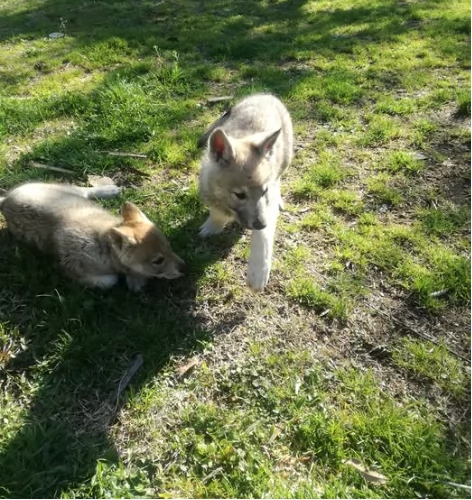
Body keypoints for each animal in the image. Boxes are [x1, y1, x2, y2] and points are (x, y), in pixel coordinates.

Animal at [0, 183, 184, 290]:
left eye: (169, 246)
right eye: (158, 261)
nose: (185, 267)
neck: (105, 247)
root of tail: (5, 199)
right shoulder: (76, 270)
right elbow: (111, 280)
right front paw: (136, 280)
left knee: (85, 190)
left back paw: (110, 190)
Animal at [195, 92, 292, 292]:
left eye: (264, 192)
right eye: (240, 195)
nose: (261, 224)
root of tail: (265, 95)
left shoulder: (268, 202)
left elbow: (263, 239)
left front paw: (258, 272)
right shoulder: (208, 188)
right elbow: (216, 212)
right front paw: (213, 226)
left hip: (285, 158)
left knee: (279, 176)